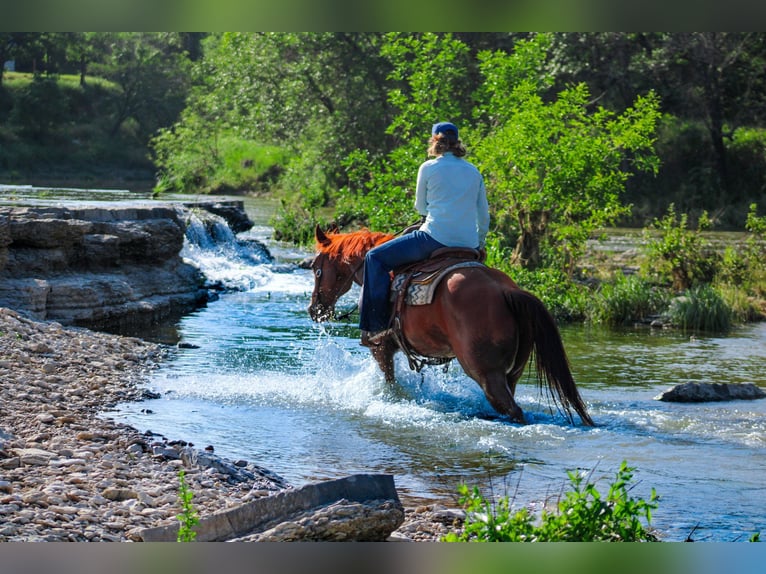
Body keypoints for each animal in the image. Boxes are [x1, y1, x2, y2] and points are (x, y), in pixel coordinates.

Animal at [308, 225, 596, 428]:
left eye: (315, 268)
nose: (315, 310)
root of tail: (506, 291)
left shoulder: (381, 348)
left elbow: (390, 384)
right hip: (511, 373)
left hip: (484, 372)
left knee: (512, 409)